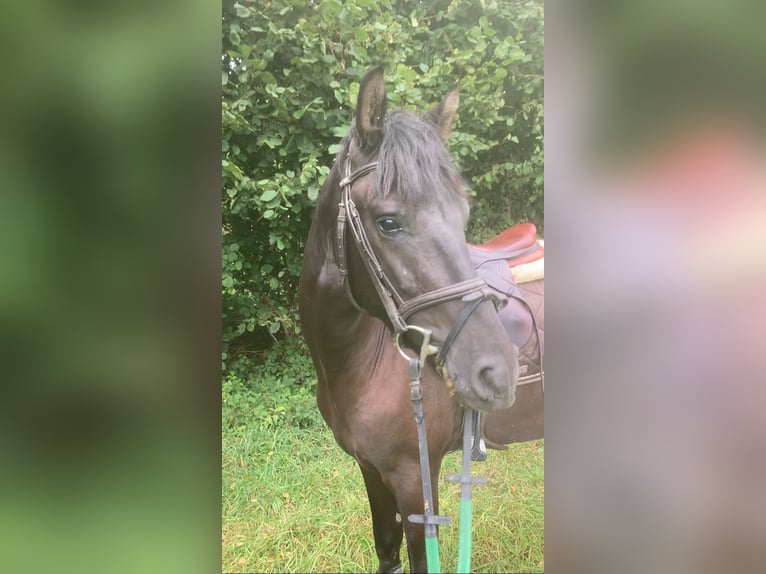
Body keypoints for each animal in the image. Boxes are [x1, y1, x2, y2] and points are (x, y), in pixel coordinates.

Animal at [300, 65, 544, 572]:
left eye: (463, 214)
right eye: (388, 222)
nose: (498, 370)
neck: (355, 363)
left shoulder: (416, 480)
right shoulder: (370, 469)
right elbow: (386, 551)